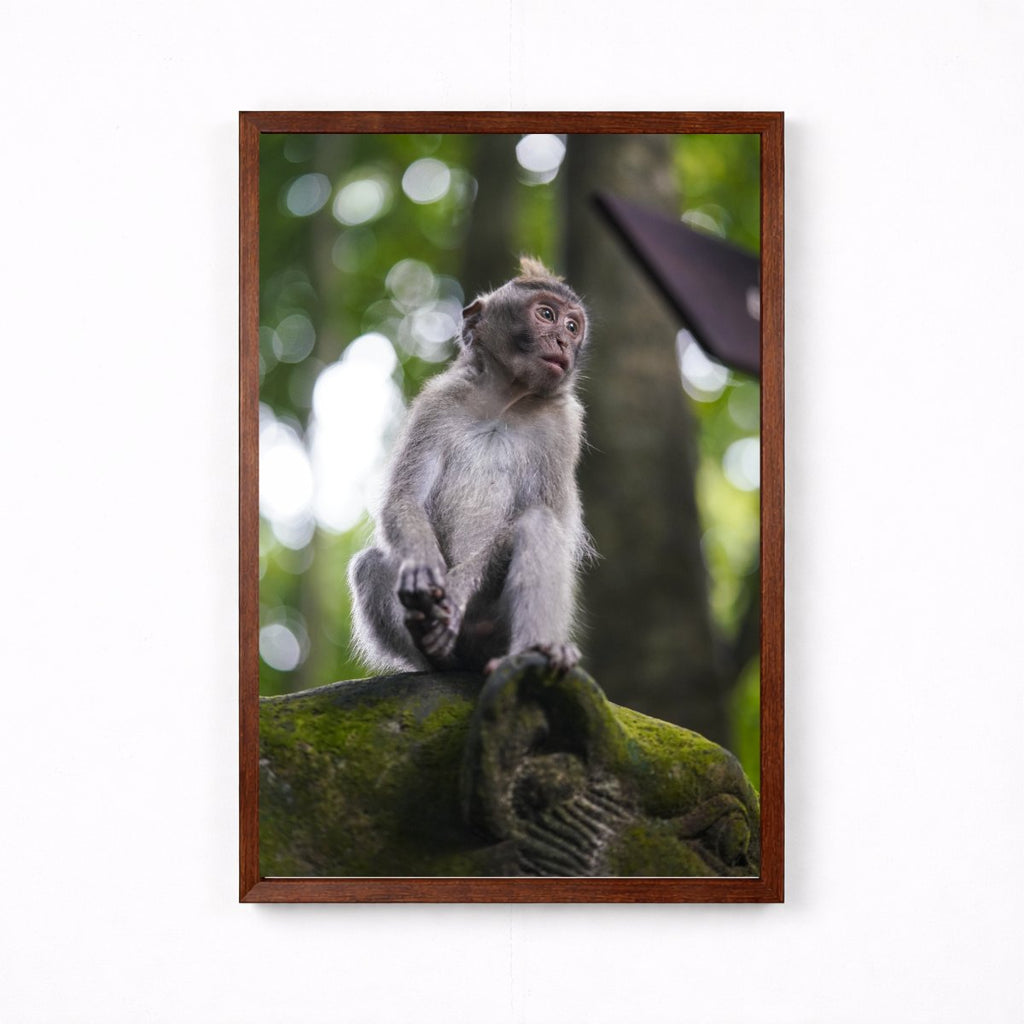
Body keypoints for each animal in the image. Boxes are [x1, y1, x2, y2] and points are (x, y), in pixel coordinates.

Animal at [348, 256, 592, 677]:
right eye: (547, 315)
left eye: (572, 327)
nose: (563, 342)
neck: (504, 402)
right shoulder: (438, 403)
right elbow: (404, 499)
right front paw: (422, 568)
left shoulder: (562, 429)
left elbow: (543, 516)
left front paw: (457, 589)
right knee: (368, 564)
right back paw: (435, 652)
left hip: (495, 628)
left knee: (538, 525)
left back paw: (538, 650)